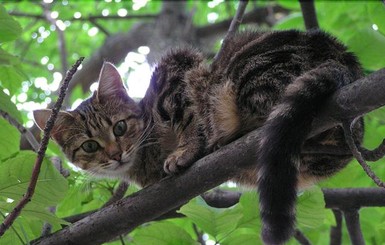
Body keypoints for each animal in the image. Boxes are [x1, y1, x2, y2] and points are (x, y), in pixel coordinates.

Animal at [33, 29, 364, 244]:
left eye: (120, 128)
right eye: (90, 146)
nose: (115, 154)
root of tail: (344, 62)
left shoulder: (178, 69)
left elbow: (191, 120)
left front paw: (184, 151)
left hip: (248, 73)